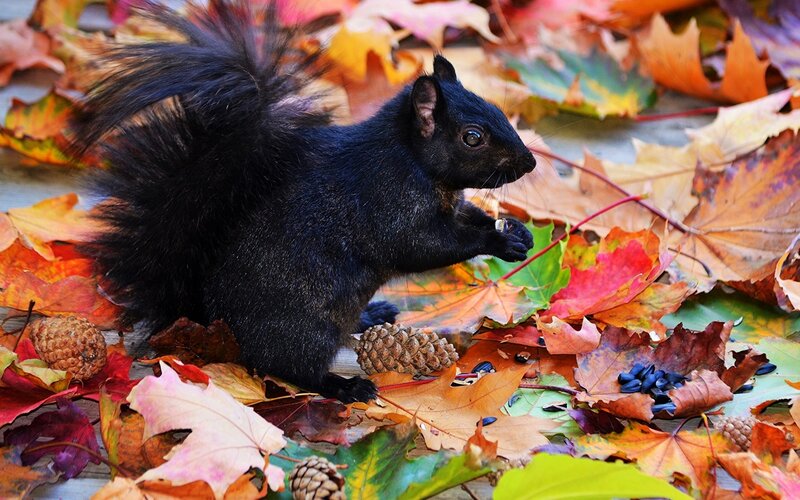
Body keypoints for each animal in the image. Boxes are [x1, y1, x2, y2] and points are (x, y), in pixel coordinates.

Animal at [72, 0, 536, 403]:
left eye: (497, 109)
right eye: (472, 137)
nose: (530, 162)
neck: (414, 162)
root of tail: (212, 319)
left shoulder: (448, 204)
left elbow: (468, 216)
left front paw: (515, 231)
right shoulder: (389, 204)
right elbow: (425, 246)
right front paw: (497, 242)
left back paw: (371, 315)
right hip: (305, 328)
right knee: (290, 367)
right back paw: (344, 386)